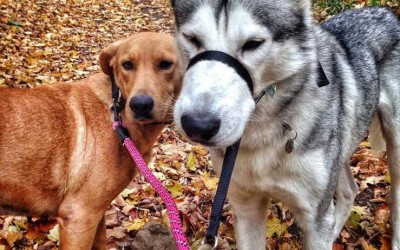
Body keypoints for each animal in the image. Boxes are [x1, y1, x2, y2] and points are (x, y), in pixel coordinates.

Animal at [0, 32, 181, 249]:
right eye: (127, 64)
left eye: (165, 64)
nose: (140, 105)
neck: (117, 110)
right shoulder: (78, 216)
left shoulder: (97, 213)